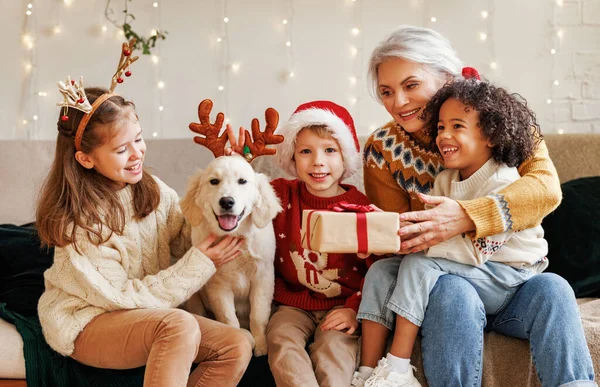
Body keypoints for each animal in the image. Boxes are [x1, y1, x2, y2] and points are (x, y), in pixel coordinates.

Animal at [180, 156, 282, 356]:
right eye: (214, 181)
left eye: (242, 181)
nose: (227, 202)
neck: (236, 237)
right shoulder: (218, 286)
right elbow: (229, 319)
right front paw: (241, 338)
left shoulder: (263, 278)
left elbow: (258, 316)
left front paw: (261, 347)